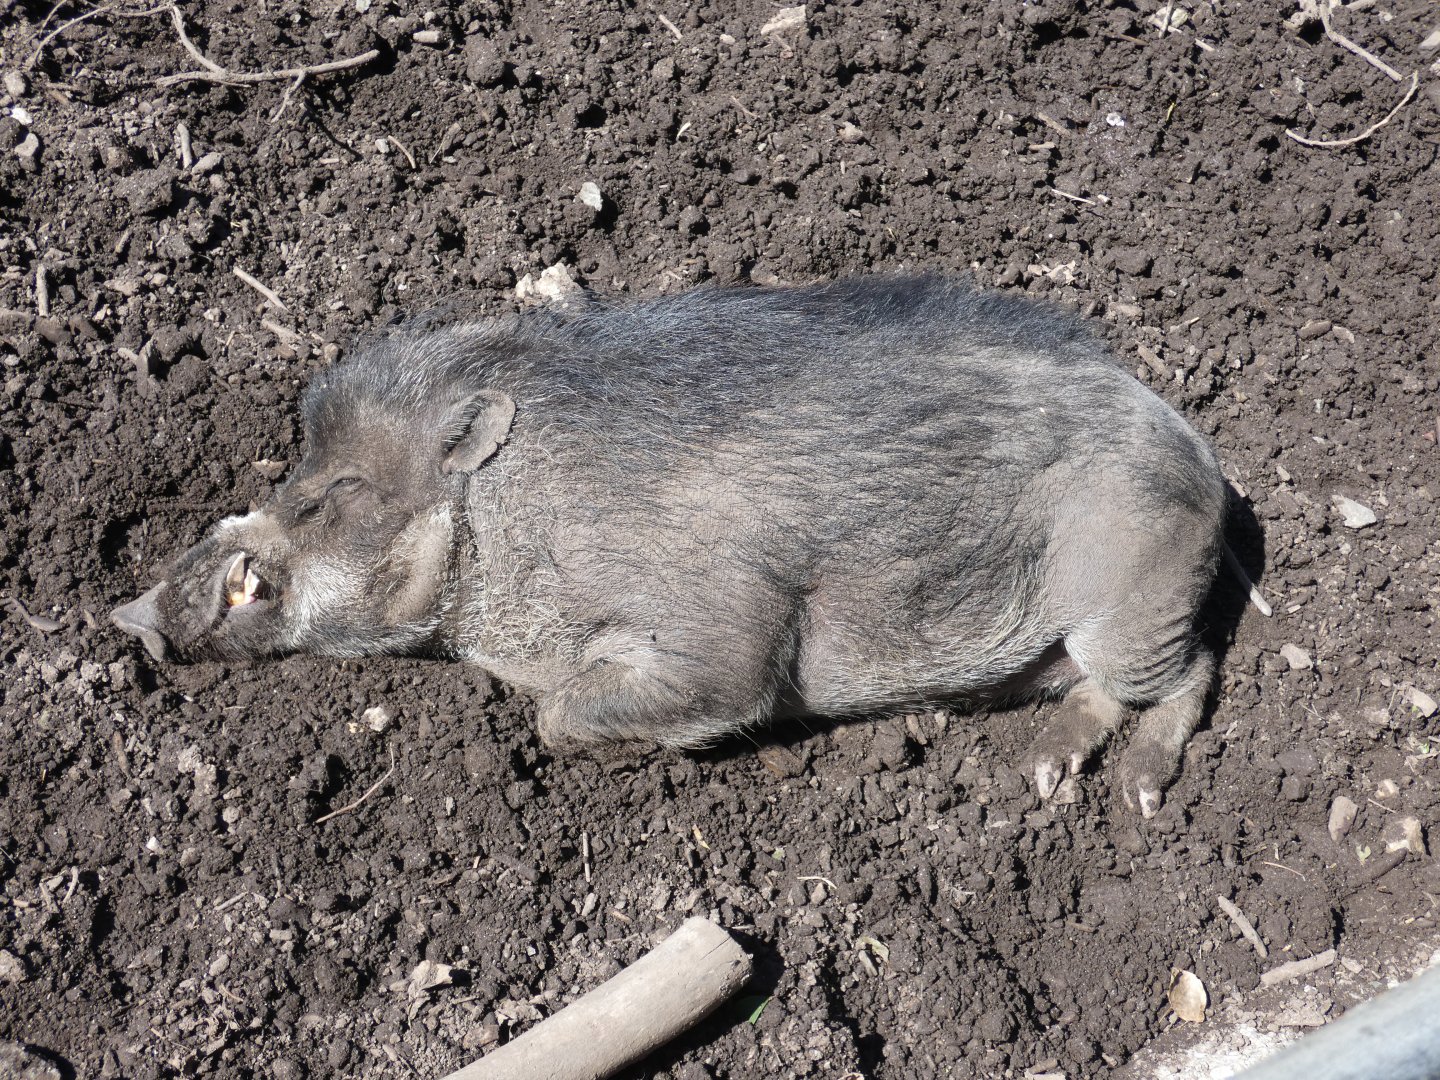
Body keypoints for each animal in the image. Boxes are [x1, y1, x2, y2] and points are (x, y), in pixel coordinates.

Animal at [113, 276, 1232, 816]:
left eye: (335, 493)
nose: (133, 614)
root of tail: (1199, 456)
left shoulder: (725, 640)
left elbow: (568, 715)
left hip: (1135, 603)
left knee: (1193, 673)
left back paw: (1133, 795)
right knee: (1101, 693)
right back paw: (1044, 774)